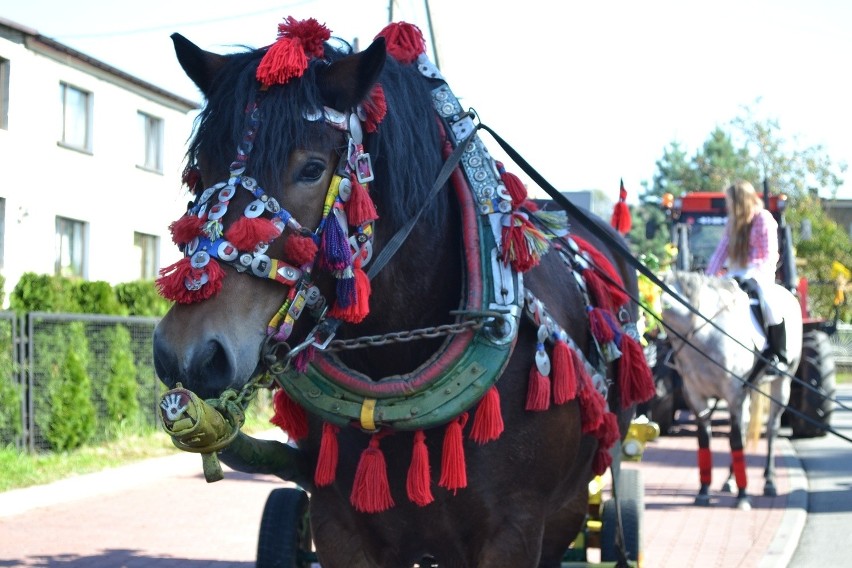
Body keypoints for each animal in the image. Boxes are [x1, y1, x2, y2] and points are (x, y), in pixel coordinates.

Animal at [664, 270, 804, 510]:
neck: (705, 333)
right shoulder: (696, 395)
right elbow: (705, 439)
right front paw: (704, 491)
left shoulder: (733, 394)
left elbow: (735, 439)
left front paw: (743, 495)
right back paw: (730, 480)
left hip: (782, 384)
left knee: (772, 429)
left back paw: (769, 480)